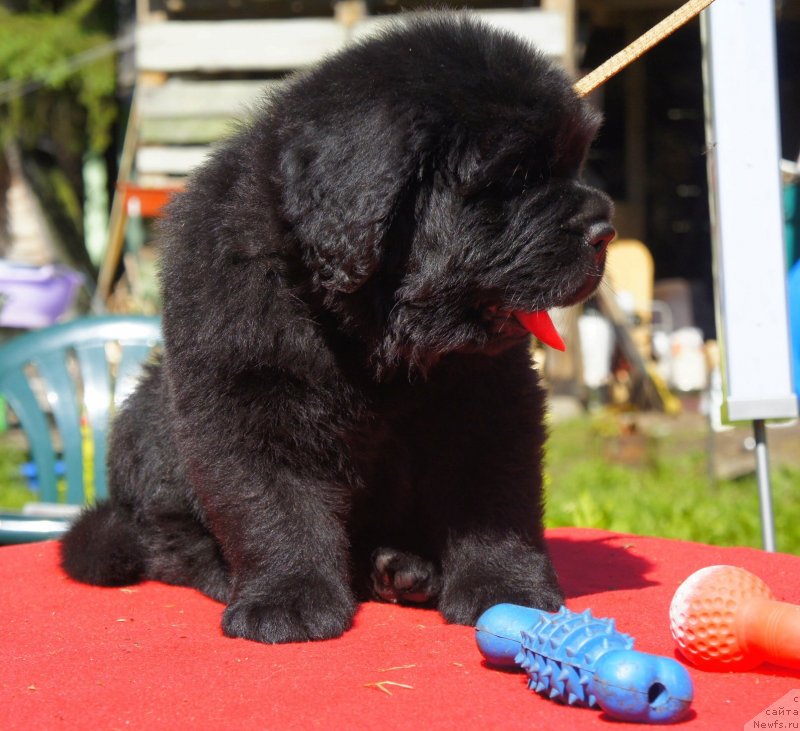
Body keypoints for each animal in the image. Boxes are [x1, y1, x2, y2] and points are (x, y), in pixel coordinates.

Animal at [62, 10, 612, 640]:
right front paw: (287, 600)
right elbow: (274, 503)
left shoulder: (491, 397)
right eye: (517, 177)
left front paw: (508, 590)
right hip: (148, 419)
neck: (370, 334)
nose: (606, 230)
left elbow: (493, 499)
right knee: (168, 540)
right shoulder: (245, 395)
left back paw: (400, 569)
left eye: (572, 163)